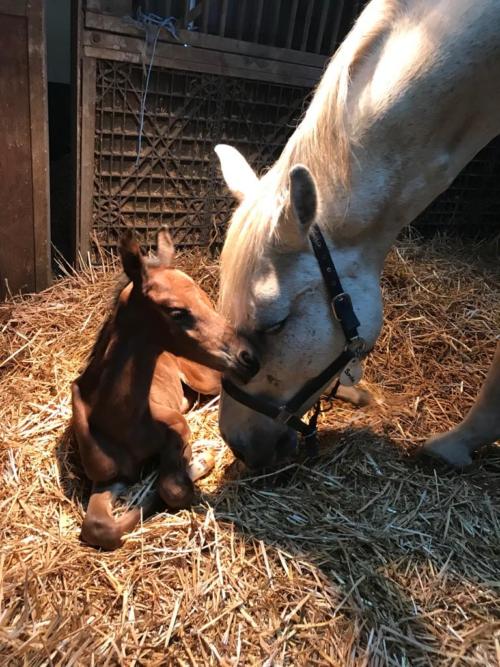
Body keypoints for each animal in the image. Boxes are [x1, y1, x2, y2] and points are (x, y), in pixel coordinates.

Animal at [73, 230, 260, 548]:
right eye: (177, 312)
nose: (249, 357)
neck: (121, 421)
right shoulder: (107, 477)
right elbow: (99, 527)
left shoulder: (178, 427)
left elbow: (172, 488)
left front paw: (200, 462)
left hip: (205, 378)